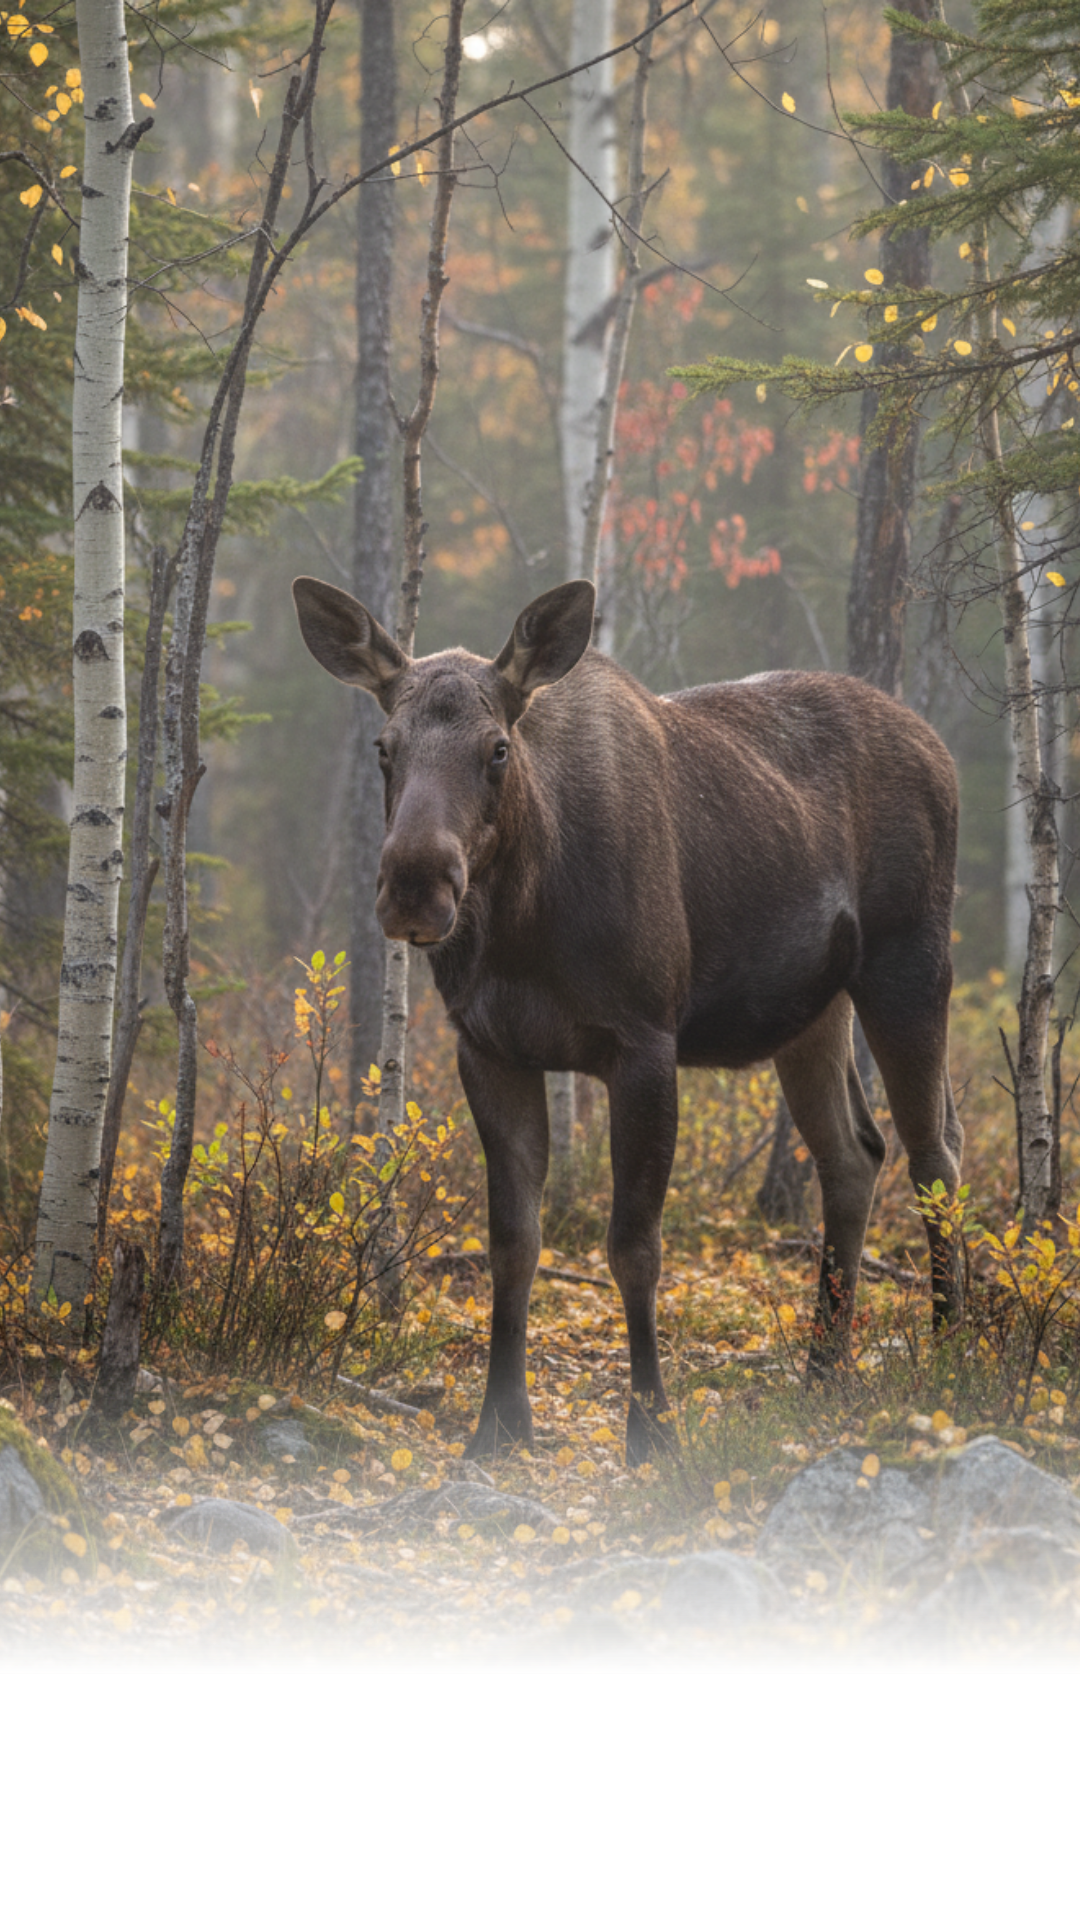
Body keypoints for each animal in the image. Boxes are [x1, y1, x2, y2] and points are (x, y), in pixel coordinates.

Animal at [293, 574, 963, 1463]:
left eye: (497, 748)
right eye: (383, 746)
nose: (414, 885)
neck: (526, 919)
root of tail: (941, 749)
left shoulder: (645, 1042)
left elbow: (634, 1247)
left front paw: (651, 1425)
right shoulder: (491, 1050)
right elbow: (514, 1243)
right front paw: (499, 1421)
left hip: (909, 962)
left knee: (937, 1156)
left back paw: (954, 1351)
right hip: (811, 1014)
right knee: (855, 1154)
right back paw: (823, 1373)